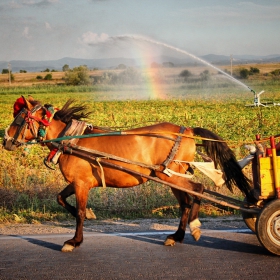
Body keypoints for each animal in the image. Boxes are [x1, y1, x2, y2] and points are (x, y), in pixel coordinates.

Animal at [3, 95, 255, 252]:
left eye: (19, 119)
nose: (5, 141)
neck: (71, 140)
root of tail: (189, 130)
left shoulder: (82, 184)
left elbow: (80, 213)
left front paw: (74, 241)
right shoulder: (77, 182)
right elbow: (61, 199)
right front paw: (89, 217)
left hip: (171, 175)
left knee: (198, 190)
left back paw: (194, 227)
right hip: (171, 178)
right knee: (185, 202)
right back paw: (176, 236)